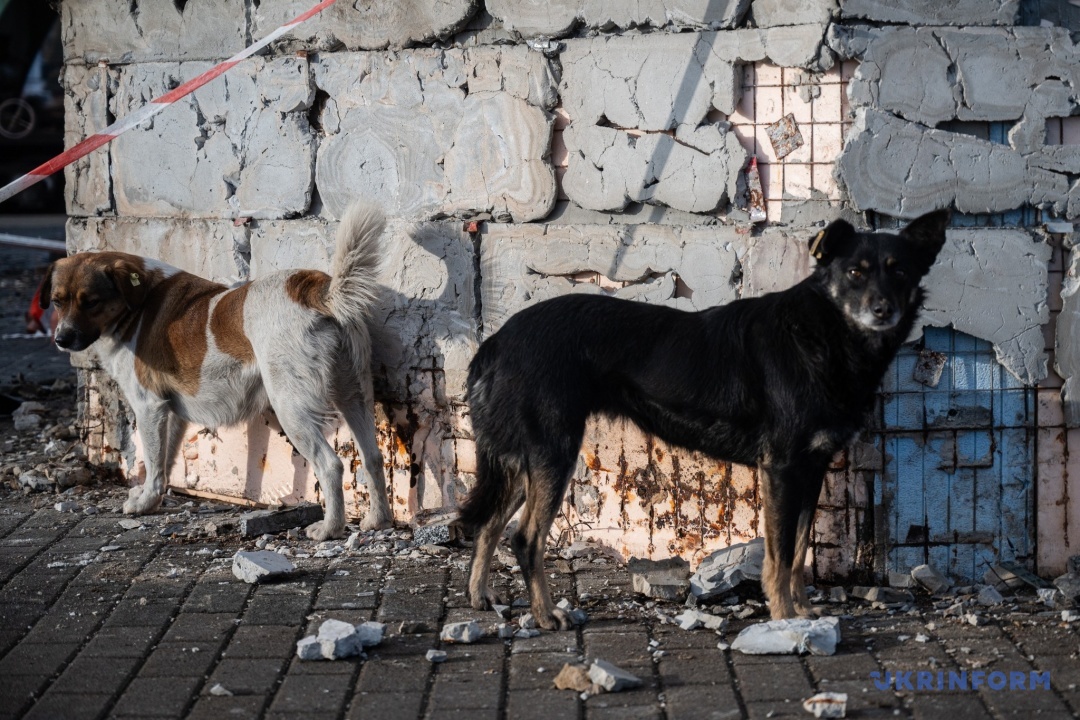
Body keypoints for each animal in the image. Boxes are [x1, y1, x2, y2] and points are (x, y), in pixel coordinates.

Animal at [41, 201, 393, 540]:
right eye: (57, 301)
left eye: (91, 302)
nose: (61, 339)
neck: (138, 303)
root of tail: (316, 290)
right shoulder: (171, 411)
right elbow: (165, 461)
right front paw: (153, 499)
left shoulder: (149, 406)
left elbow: (153, 462)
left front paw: (143, 503)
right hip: (355, 396)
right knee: (373, 458)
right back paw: (378, 520)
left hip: (291, 408)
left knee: (330, 465)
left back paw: (330, 528)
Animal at [459, 210, 949, 629]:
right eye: (855, 273)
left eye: (900, 272)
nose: (883, 310)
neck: (823, 335)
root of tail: (497, 341)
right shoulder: (782, 469)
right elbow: (780, 555)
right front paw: (784, 618)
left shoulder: (811, 469)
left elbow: (797, 553)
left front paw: (804, 612)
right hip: (553, 452)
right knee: (526, 539)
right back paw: (545, 616)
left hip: (528, 459)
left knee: (489, 523)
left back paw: (480, 595)